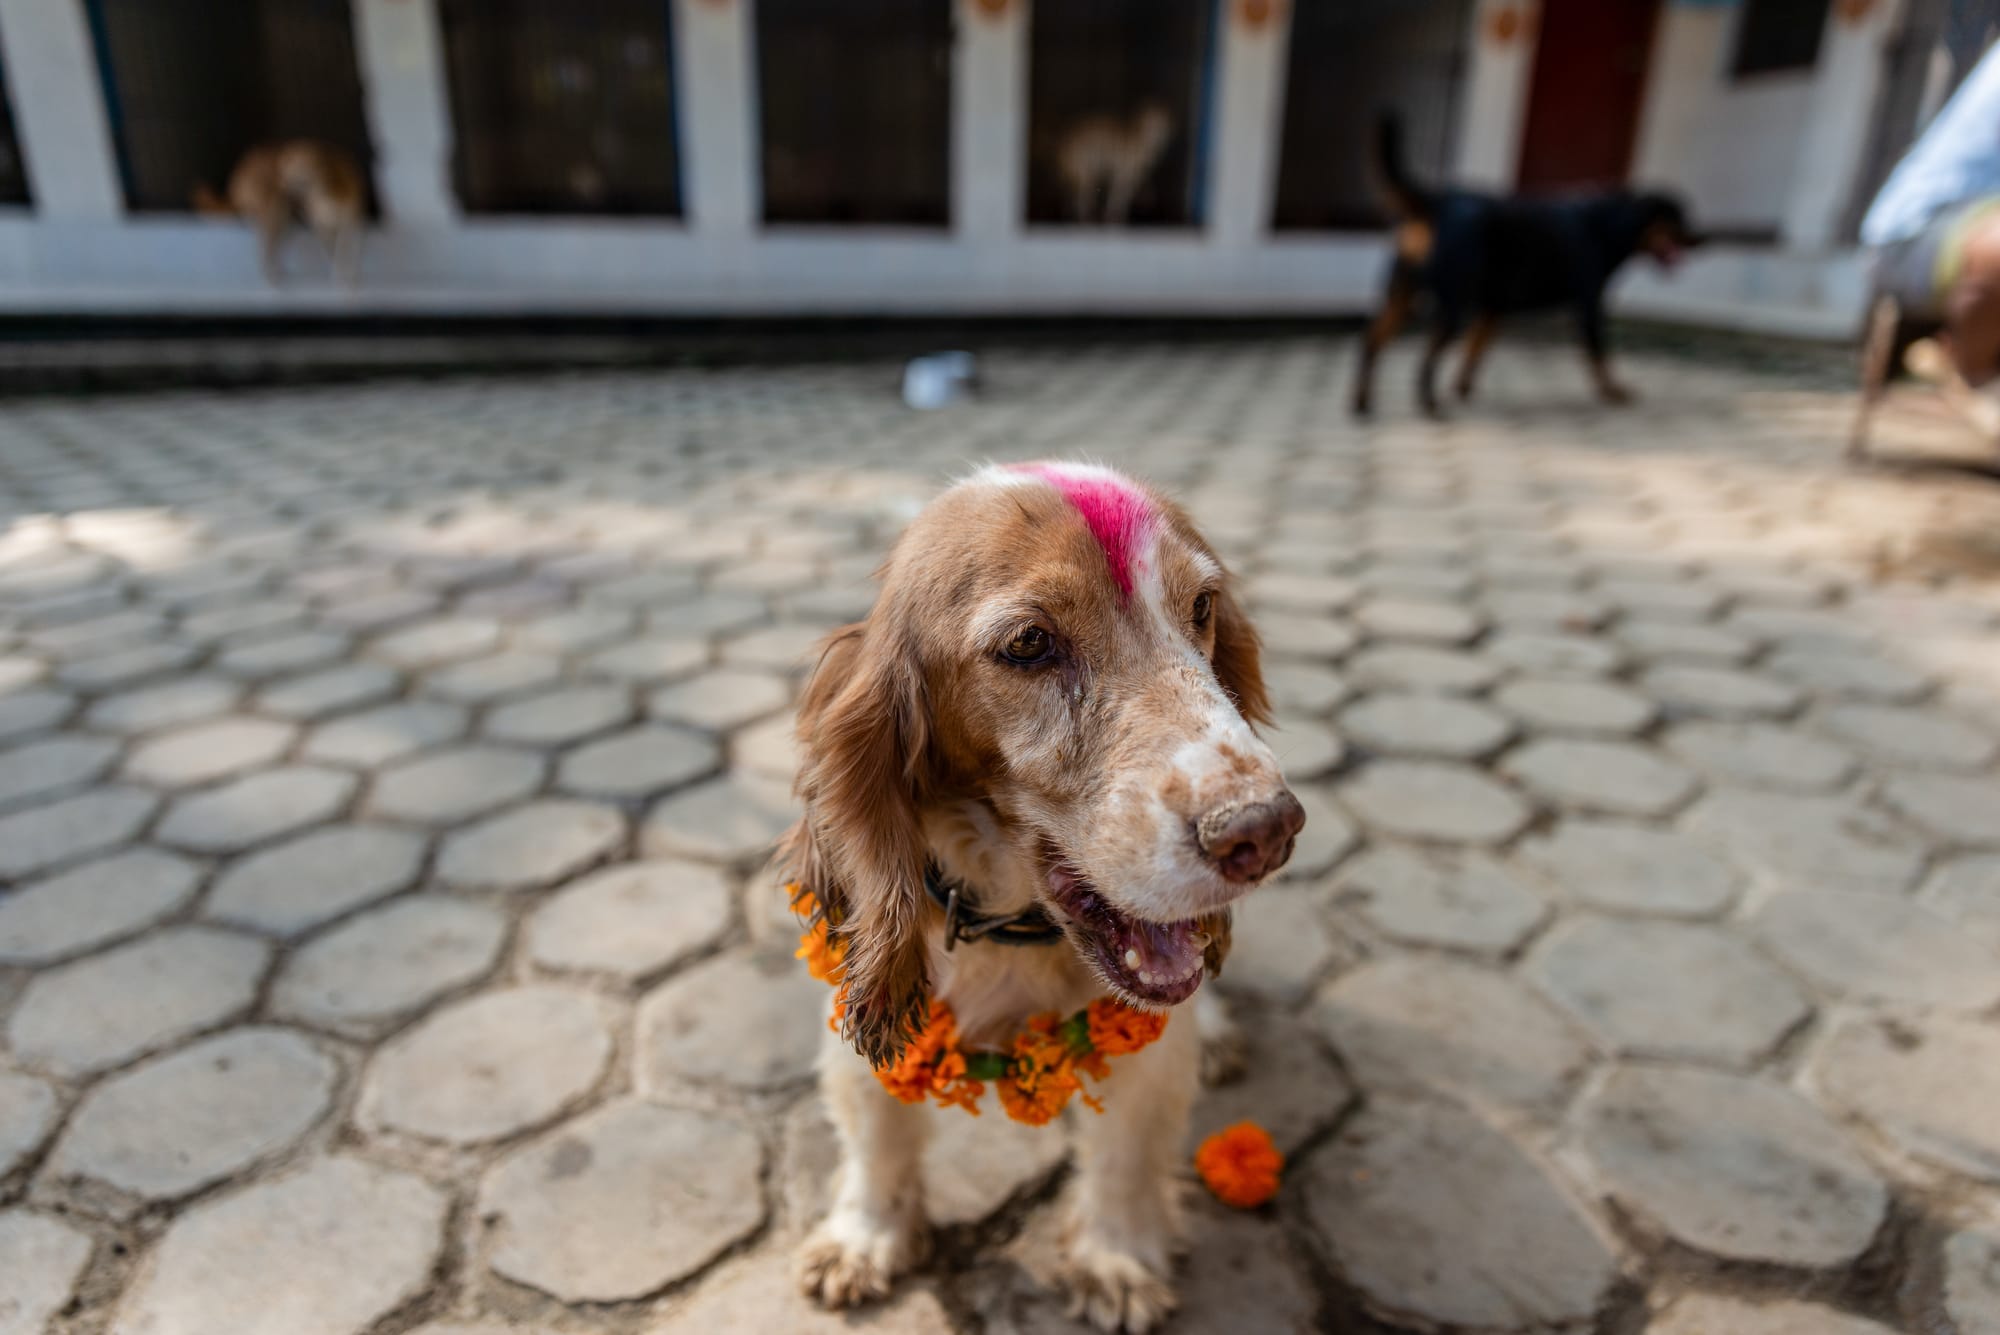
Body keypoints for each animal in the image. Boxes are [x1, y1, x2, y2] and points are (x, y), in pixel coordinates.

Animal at [197, 139, 370, 285]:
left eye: (296, 170)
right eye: (284, 170)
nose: (281, 182)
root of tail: (240, 169)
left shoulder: (350, 222)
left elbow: (344, 249)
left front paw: (347, 273)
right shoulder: (321, 226)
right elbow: (335, 251)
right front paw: (341, 274)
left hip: (282, 219)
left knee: (272, 244)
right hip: (273, 213)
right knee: (266, 246)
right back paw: (271, 276)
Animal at [780, 463, 1296, 1327]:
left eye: (1201, 608)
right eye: (1028, 644)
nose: (1264, 829)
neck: (1016, 934)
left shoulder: (1149, 1058)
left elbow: (1124, 1157)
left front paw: (1116, 1257)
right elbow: (876, 1139)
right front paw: (865, 1236)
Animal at [1344, 116, 1704, 417]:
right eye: (1677, 217)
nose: (1700, 238)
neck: (1606, 224)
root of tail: (1436, 202)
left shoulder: (1494, 307)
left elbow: (1475, 350)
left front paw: (1463, 388)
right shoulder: (1589, 304)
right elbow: (1599, 354)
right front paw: (1613, 391)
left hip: (1401, 297)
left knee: (1370, 341)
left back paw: (1362, 403)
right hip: (1451, 304)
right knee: (1425, 359)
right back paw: (1430, 406)